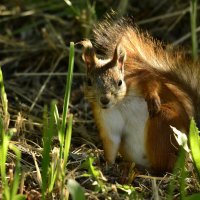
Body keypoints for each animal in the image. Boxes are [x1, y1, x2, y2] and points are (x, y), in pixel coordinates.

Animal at [80, 17, 200, 173]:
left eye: (120, 82)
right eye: (89, 82)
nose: (104, 100)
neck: (119, 103)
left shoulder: (139, 78)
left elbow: (152, 83)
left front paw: (153, 100)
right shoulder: (107, 121)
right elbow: (112, 143)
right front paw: (107, 165)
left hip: (164, 122)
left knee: (166, 164)